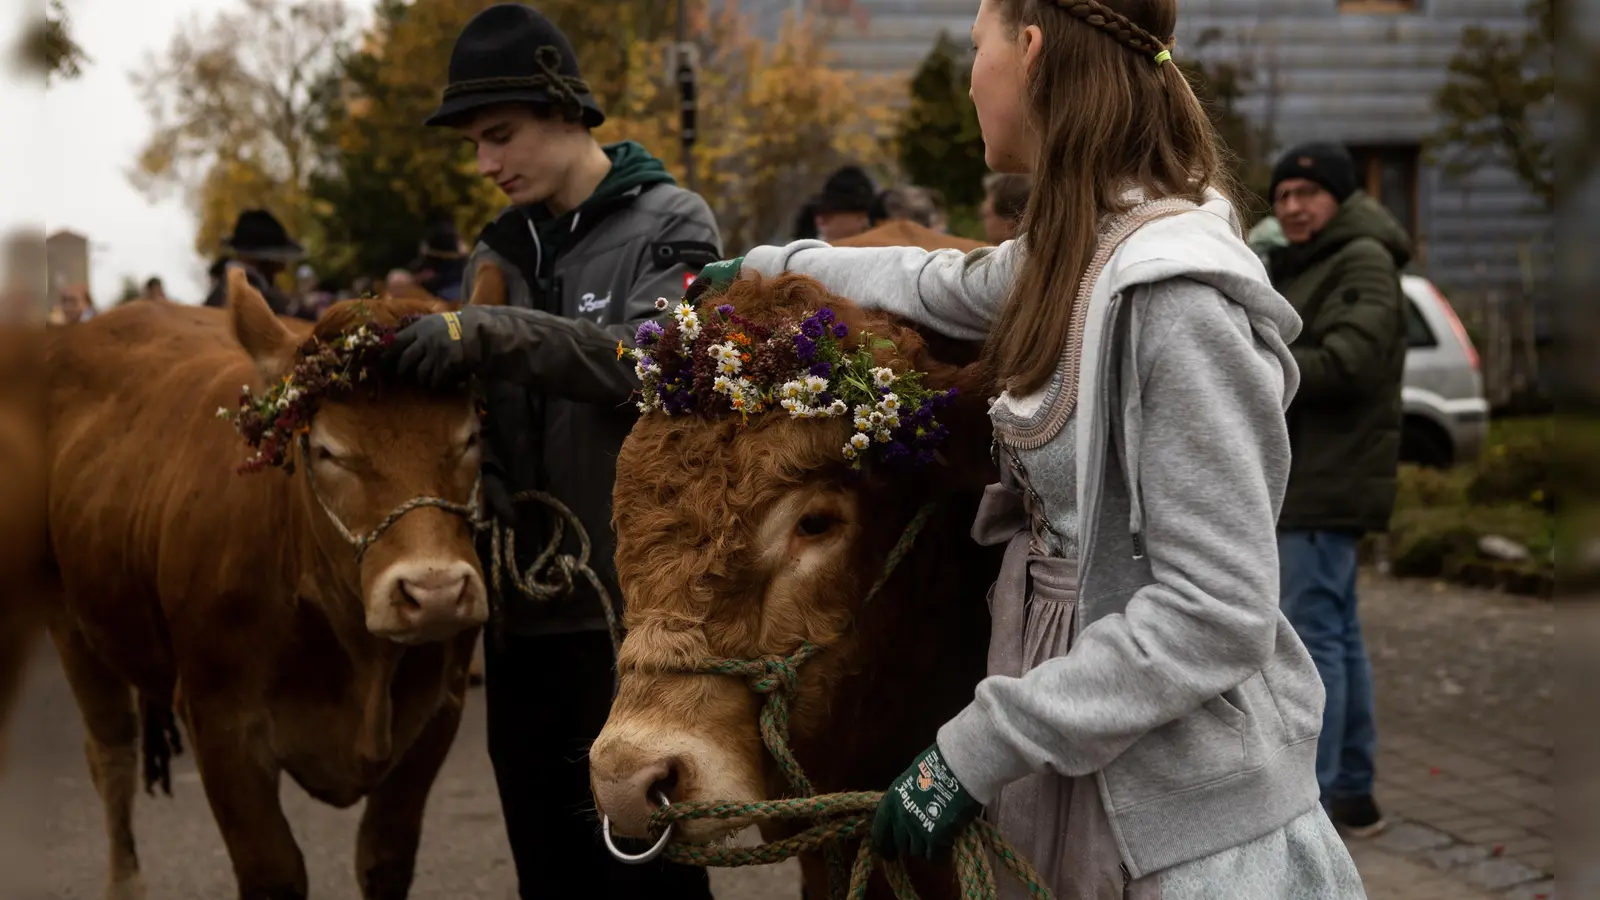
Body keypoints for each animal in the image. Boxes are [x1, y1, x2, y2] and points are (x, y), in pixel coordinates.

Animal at [42, 267, 492, 896]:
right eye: (328, 451)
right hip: (71, 622)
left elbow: (384, 856)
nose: (435, 594)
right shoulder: (218, 721)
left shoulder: (437, 711)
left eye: (469, 438)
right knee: (111, 756)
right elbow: (273, 870)